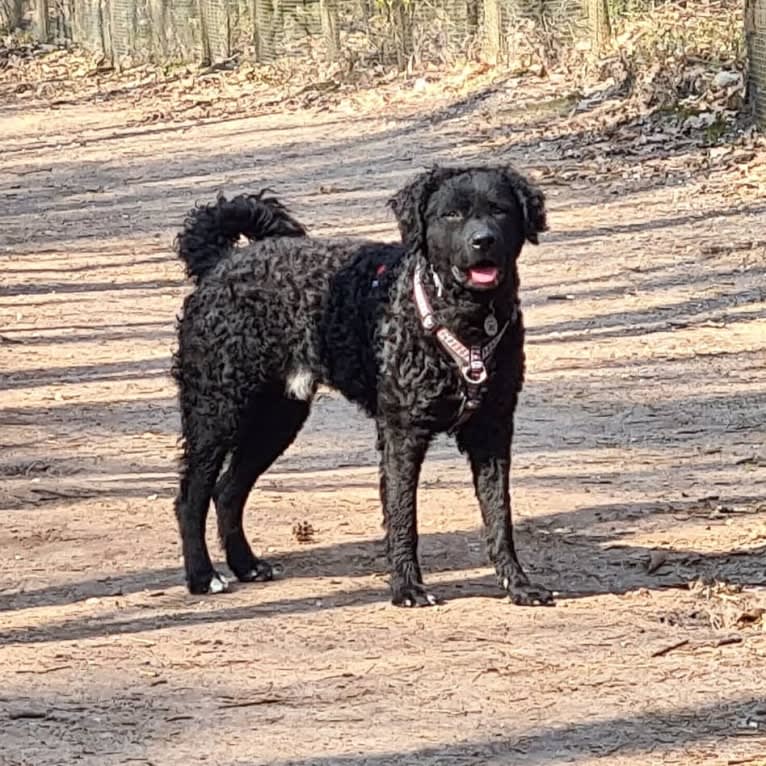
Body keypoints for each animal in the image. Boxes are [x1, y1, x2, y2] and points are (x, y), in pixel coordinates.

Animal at [174, 165, 556, 608]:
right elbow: (403, 516)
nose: (483, 241)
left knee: (228, 491)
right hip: (216, 411)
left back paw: (246, 565)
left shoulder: (492, 432)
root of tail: (223, 260)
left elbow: (499, 516)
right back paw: (203, 576)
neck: (469, 322)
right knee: (192, 497)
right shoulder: (402, 433)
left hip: (277, 420)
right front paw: (407, 587)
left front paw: (518, 584)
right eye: (451, 214)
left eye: (499, 210)